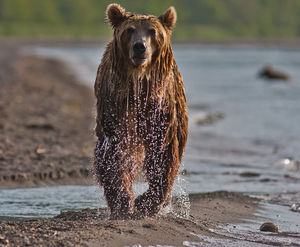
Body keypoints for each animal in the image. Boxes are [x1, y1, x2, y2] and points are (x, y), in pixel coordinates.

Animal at [94, 3, 188, 218]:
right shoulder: (116, 108)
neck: (139, 84)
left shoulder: (161, 110)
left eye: (152, 31)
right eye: (130, 30)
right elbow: (114, 154)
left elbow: (163, 153)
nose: (139, 46)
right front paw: (123, 202)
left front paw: (146, 202)